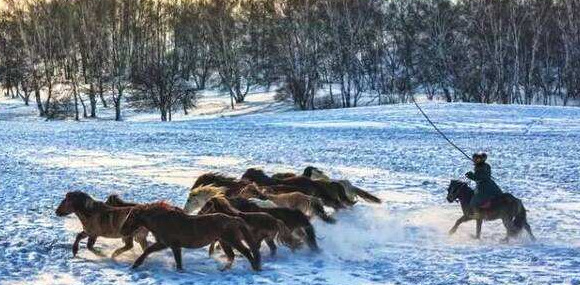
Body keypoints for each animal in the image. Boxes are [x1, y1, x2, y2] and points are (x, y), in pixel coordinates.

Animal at [121, 201, 262, 270]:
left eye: (131, 217)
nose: (122, 230)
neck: (162, 220)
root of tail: (234, 219)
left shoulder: (171, 245)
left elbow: (176, 260)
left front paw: (135, 265)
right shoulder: (165, 244)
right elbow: (149, 251)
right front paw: (135, 265)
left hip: (232, 240)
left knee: (246, 252)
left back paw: (256, 268)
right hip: (224, 242)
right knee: (231, 256)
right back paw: (224, 270)